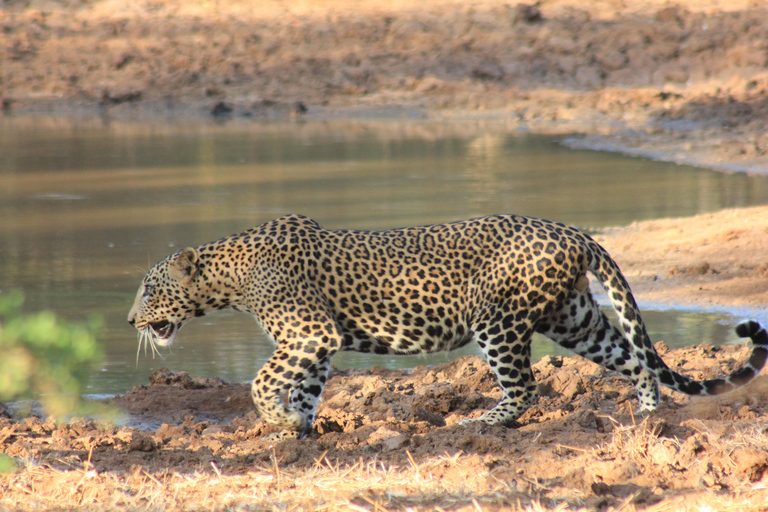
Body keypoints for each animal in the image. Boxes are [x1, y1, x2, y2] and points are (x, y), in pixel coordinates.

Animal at [127, 214, 768, 438]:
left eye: (148, 288)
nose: (131, 318)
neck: (228, 275)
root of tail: (571, 230)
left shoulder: (309, 333)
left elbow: (264, 380)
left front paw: (277, 420)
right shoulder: (315, 344)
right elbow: (305, 387)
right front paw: (298, 430)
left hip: (498, 321)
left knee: (526, 386)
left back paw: (481, 420)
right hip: (574, 318)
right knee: (635, 355)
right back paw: (647, 414)